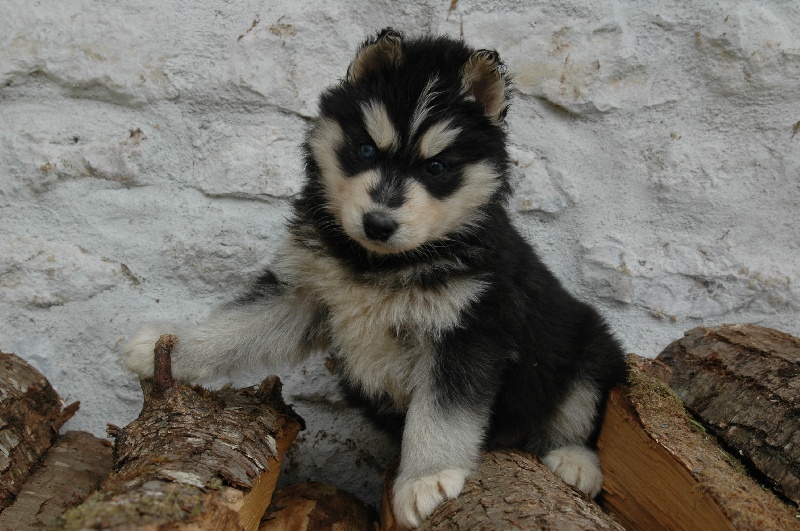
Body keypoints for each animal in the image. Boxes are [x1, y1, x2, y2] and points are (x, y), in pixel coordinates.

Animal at [124, 28, 627, 528]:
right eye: (366, 149)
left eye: (436, 167)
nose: (378, 224)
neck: (379, 264)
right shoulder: (303, 292)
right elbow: (234, 328)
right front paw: (167, 347)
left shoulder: (467, 331)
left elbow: (441, 416)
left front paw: (427, 478)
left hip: (588, 347)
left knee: (579, 413)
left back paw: (575, 462)